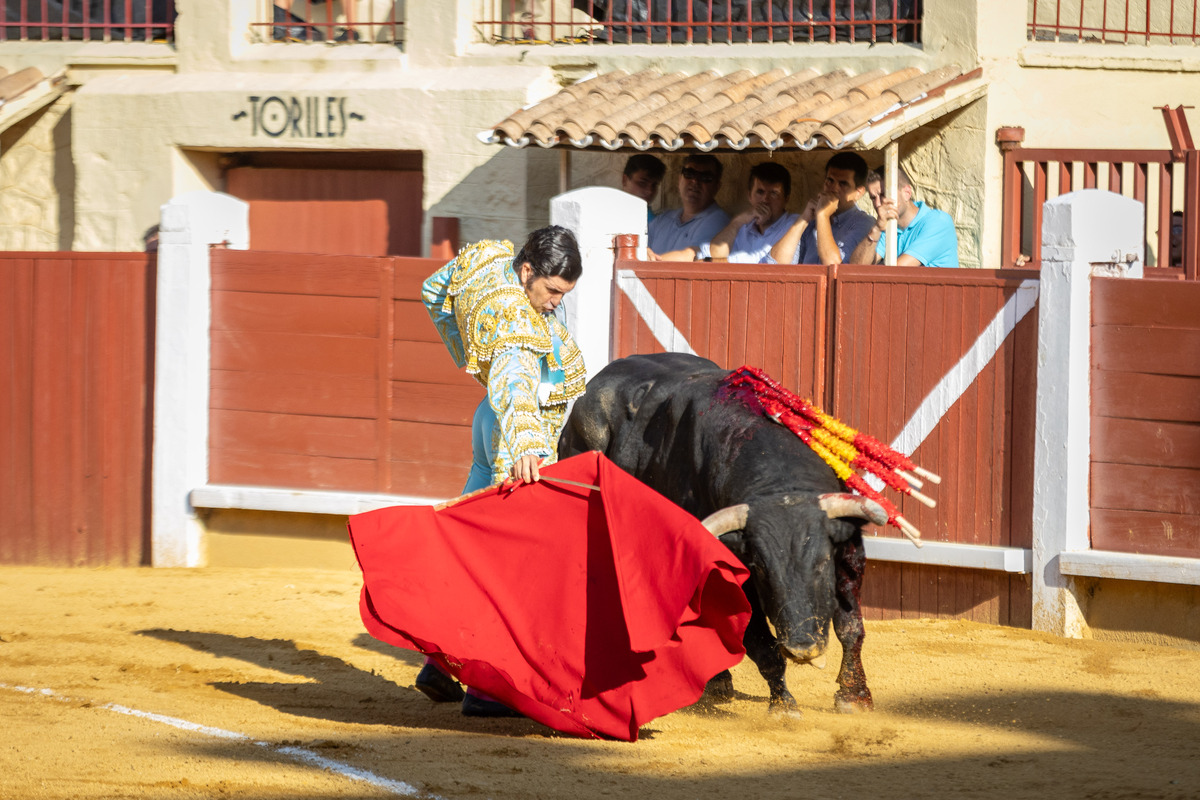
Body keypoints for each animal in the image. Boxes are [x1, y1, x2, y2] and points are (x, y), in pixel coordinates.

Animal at [559, 352, 883, 714]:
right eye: (760, 569)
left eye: (822, 563)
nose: (802, 648)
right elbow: (760, 643)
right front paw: (783, 704)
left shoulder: (848, 556)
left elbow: (851, 627)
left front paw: (854, 695)